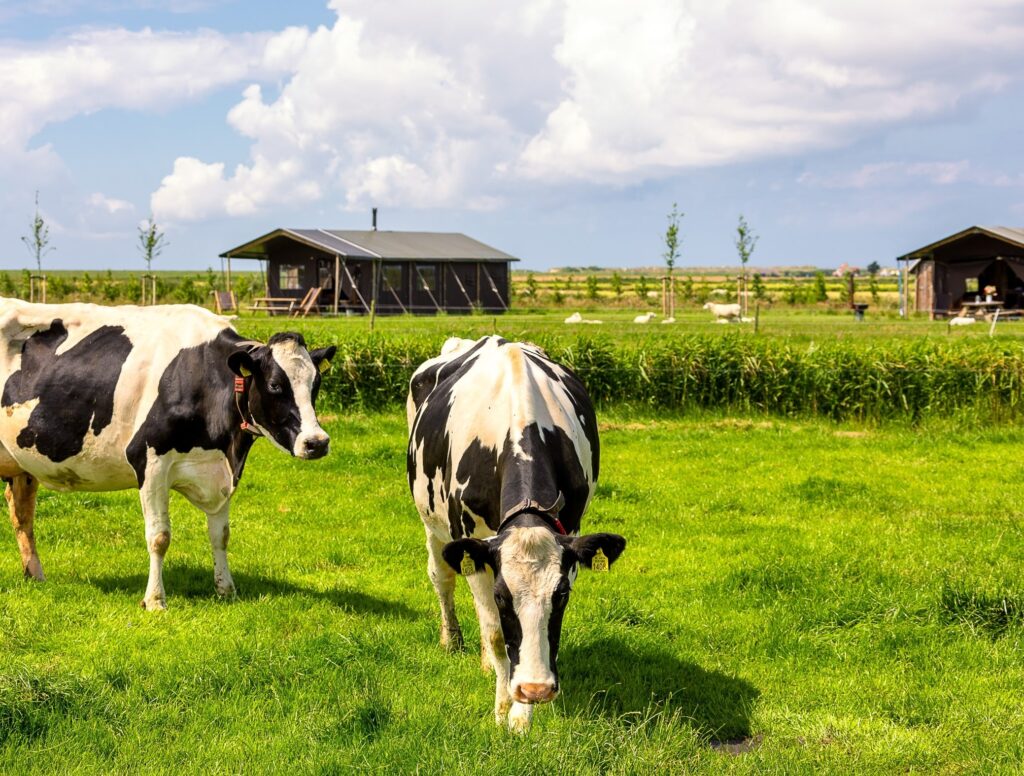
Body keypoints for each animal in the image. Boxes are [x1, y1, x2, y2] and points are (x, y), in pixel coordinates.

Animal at [0, 300, 335, 610]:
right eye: (275, 385)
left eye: (316, 384)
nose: (317, 442)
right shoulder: (150, 462)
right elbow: (159, 537)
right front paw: (155, 600)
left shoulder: (221, 471)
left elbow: (221, 535)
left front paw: (226, 589)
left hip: (21, 465)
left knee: (22, 516)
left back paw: (35, 575)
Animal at [405, 337, 622, 733]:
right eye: (502, 596)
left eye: (562, 595)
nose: (536, 689)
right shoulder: (472, 545)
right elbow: (494, 630)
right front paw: (504, 705)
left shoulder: (570, 538)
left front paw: (522, 713)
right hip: (432, 521)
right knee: (442, 577)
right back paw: (452, 640)